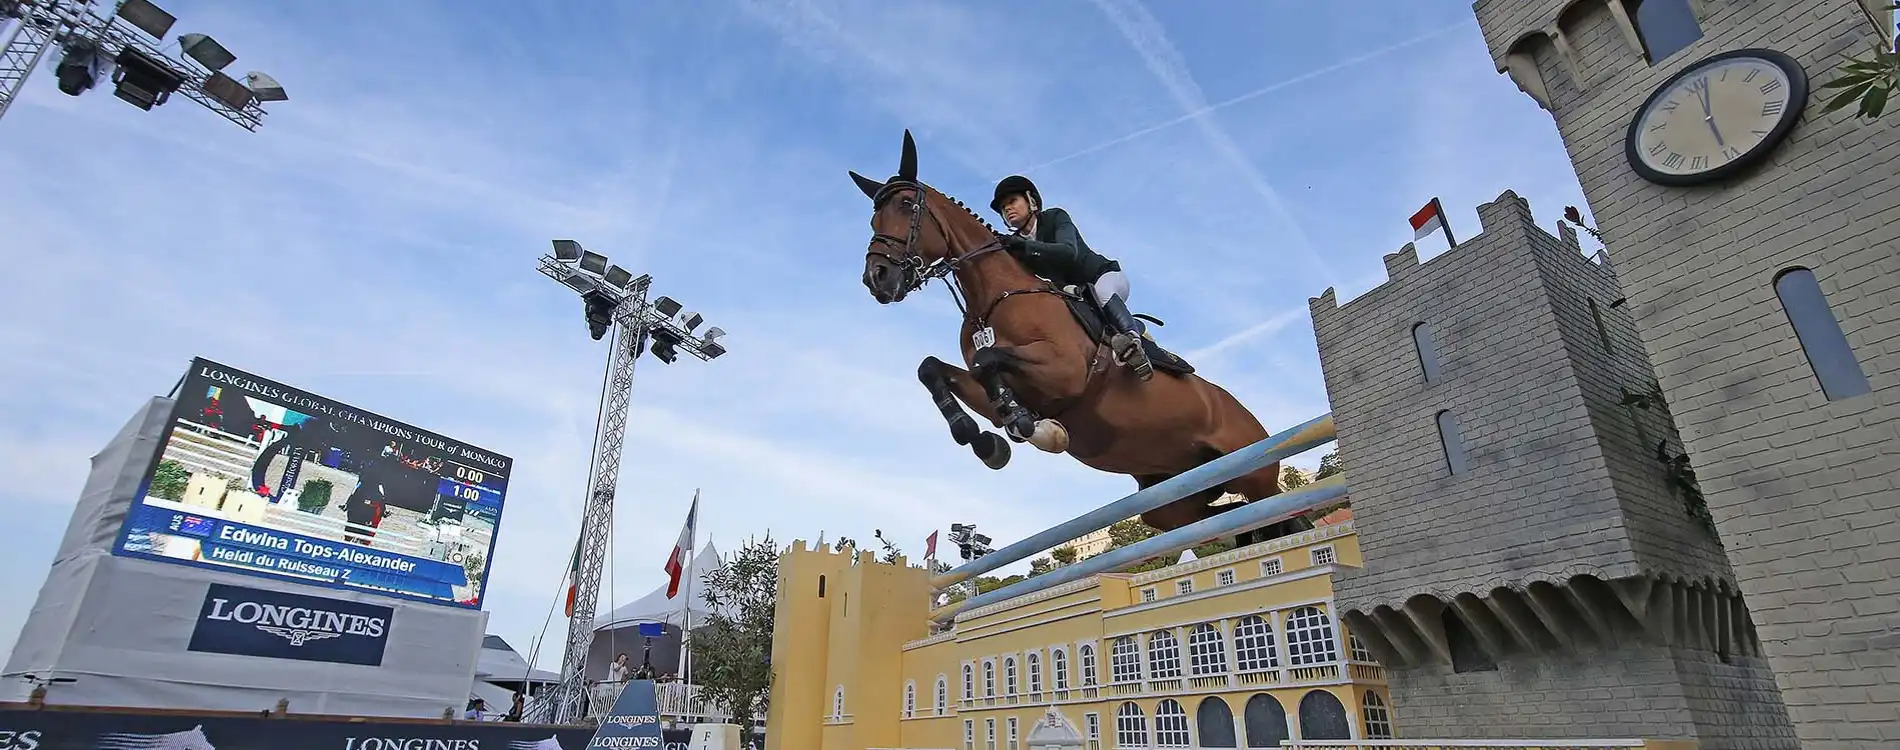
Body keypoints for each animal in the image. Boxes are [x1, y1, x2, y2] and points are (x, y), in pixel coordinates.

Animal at [851, 131, 1307, 539]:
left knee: (1275, 510)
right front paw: (986, 441)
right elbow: (934, 370)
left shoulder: (1064, 371)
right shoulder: (1002, 387)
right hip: (1173, 497)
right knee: (1215, 519)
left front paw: (1032, 429)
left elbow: (987, 361)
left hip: (1254, 473)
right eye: (873, 217)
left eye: (907, 205)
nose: (877, 278)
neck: (992, 297)